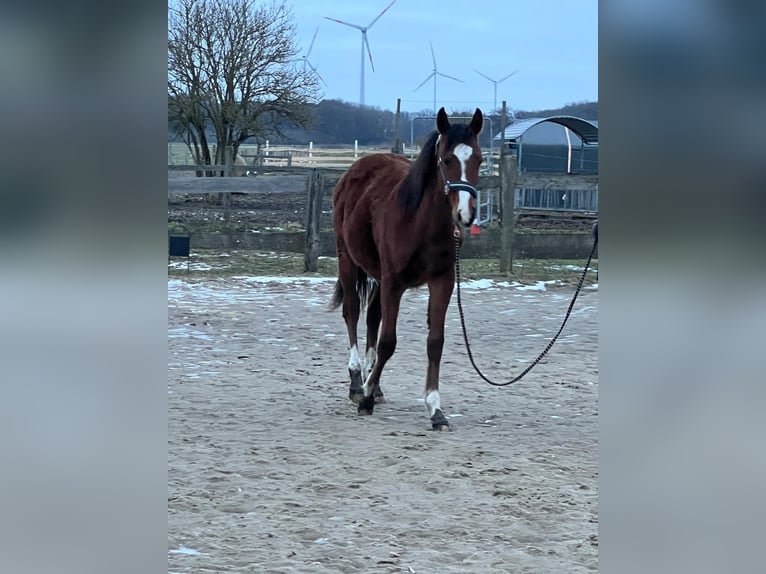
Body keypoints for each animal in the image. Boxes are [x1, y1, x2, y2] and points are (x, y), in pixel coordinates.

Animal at [330, 107, 484, 431]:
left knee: (372, 317)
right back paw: (357, 382)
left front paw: (435, 409)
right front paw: (364, 398)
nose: (465, 214)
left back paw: (373, 384)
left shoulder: (442, 282)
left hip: (376, 275)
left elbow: (435, 342)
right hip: (347, 259)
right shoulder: (394, 283)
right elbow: (388, 341)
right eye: (446, 159)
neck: (420, 222)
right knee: (352, 311)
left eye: (478, 159)